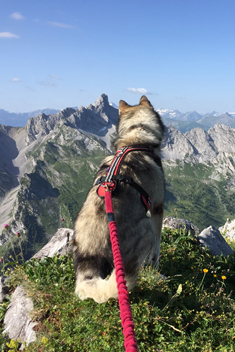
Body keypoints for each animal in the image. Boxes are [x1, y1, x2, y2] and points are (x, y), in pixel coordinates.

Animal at [72, 95, 164, 302]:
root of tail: (91, 249)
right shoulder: (157, 207)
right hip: (145, 229)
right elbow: (157, 245)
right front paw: (155, 266)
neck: (136, 137)